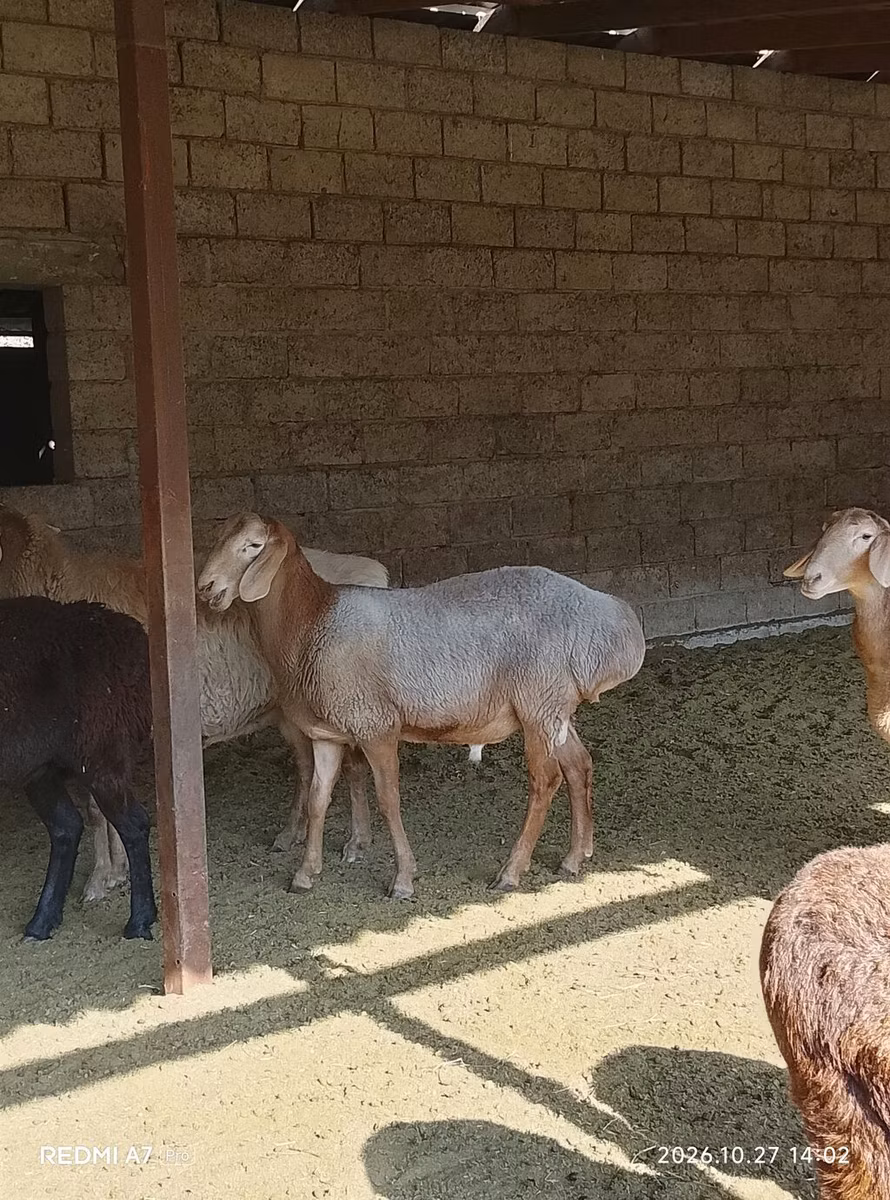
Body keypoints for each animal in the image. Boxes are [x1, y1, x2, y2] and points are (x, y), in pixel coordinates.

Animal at [0, 502, 388, 901]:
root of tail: (374, 573)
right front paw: (115, 871)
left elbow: (97, 812)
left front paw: (101, 878)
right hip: (289, 710)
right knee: (307, 767)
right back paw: (289, 835)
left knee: (352, 767)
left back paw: (356, 843)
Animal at [0, 595, 156, 940]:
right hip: (41, 766)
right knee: (66, 827)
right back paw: (42, 922)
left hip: (102, 752)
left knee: (135, 824)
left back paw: (140, 920)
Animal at [197, 512, 645, 898]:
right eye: (217, 537)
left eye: (253, 545)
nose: (204, 587)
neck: (312, 621)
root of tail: (614, 621)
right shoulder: (326, 733)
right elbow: (318, 798)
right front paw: (305, 873)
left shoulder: (376, 725)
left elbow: (388, 799)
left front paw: (403, 879)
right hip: (554, 708)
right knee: (578, 765)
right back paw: (574, 858)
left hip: (537, 701)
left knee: (544, 781)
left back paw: (511, 872)